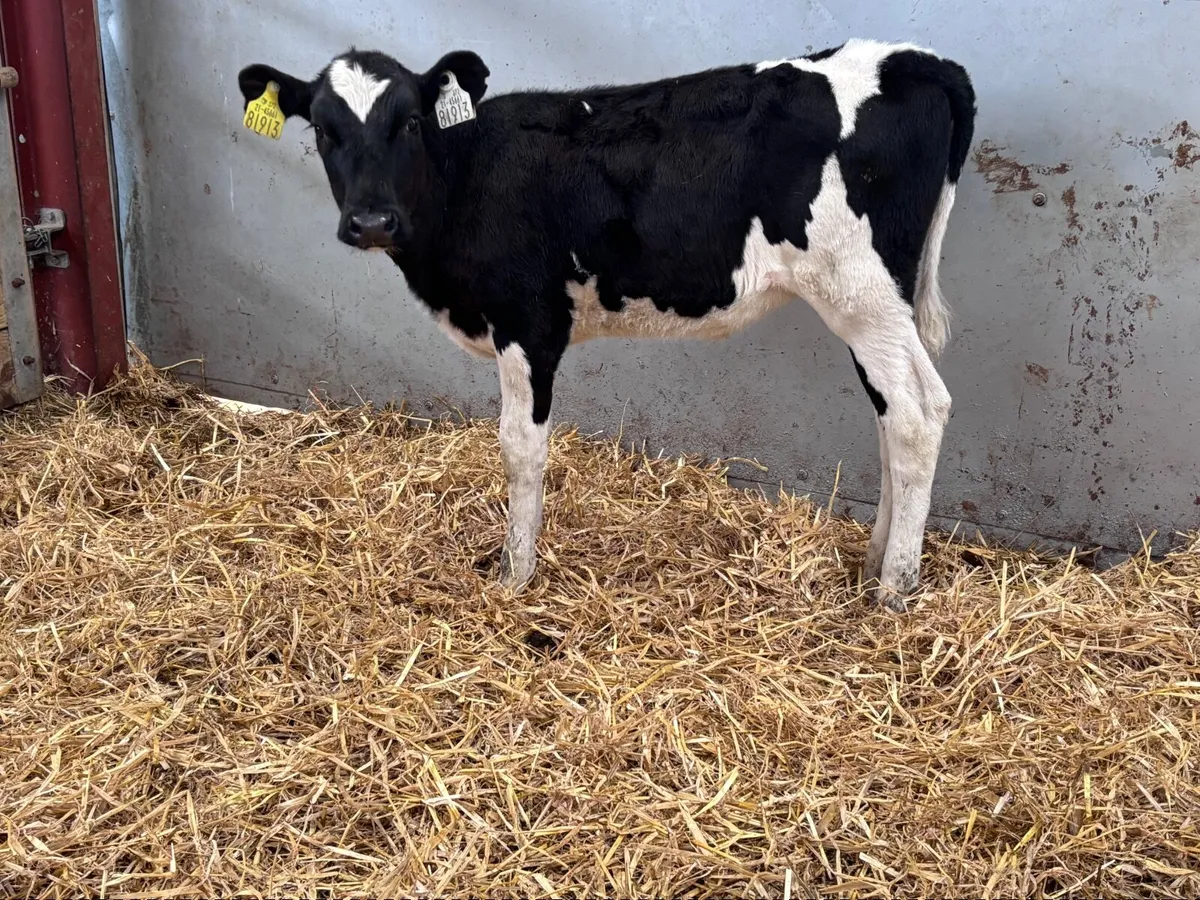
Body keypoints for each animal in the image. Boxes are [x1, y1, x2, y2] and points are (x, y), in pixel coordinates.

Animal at [238, 38, 976, 611]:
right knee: (892, 415)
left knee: (920, 411)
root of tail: (921, 59)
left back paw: (894, 590)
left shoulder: (529, 320)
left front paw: (515, 576)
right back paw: (875, 562)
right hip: (875, 305)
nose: (371, 222)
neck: (468, 174)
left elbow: (520, 448)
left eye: (412, 124)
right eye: (322, 131)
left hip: (861, 291)